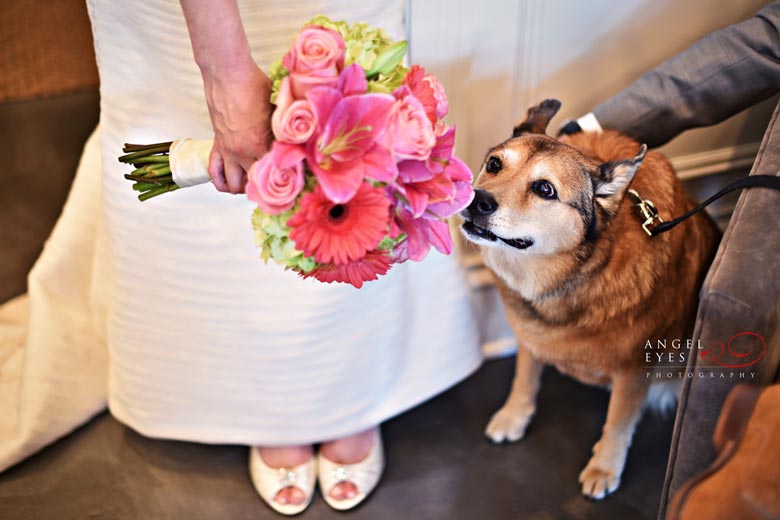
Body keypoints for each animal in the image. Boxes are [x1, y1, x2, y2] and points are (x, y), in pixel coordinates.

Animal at [460, 98, 724, 500]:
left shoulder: (634, 371)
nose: (477, 201)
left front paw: (604, 468)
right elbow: (524, 378)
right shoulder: (530, 337)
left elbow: (617, 423)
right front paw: (514, 415)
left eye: (545, 189)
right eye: (494, 164)